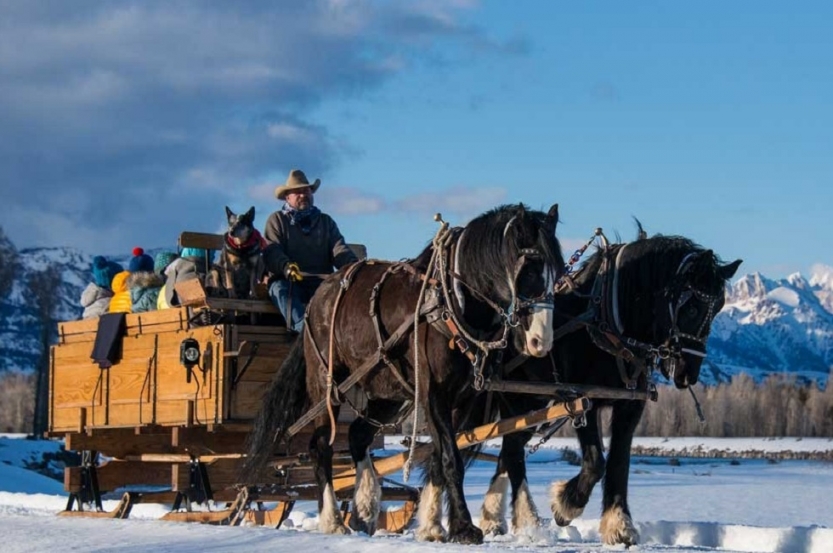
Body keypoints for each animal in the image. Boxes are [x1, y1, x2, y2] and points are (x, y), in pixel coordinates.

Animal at [244, 203, 564, 544]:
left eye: (557, 272)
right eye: (529, 270)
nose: (541, 341)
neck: (453, 302)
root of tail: (317, 297)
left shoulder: (462, 399)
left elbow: (441, 457)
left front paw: (434, 525)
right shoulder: (433, 393)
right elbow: (451, 460)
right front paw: (463, 527)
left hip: (386, 393)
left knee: (357, 436)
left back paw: (365, 506)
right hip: (325, 384)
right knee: (320, 446)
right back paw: (332, 519)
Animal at [462, 227, 740, 544]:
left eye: (718, 309)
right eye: (692, 307)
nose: (689, 373)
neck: (610, 324)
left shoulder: (630, 406)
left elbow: (619, 462)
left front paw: (619, 524)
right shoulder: (582, 399)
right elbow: (596, 462)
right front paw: (565, 504)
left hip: (534, 406)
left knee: (510, 450)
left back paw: (493, 518)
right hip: (517, 398)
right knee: (512, 453)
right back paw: (526, 519)